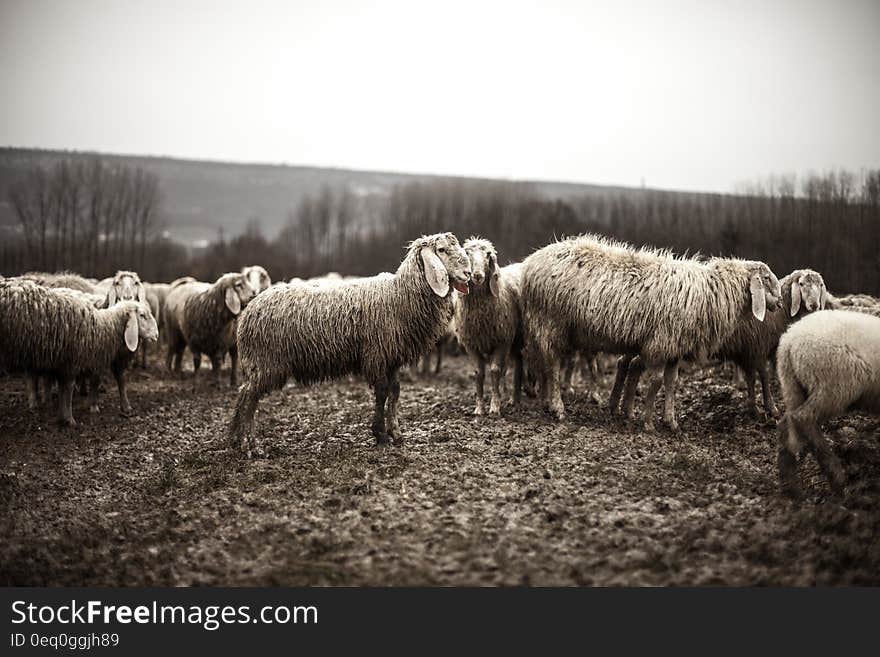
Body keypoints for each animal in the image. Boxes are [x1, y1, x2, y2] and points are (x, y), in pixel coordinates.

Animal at [0, 278, 158, 426]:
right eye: (142, 315)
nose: (156, 335)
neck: (105, 326)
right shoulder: (75, 360)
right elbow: (72, 387)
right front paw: (71, 417)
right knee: (34, 378)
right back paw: (38, 404)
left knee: (37, 378)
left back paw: (42, 402)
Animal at [229, 229, 474, 452]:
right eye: (441, 250)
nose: (468, 273)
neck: (400, 296)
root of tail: (249, 309)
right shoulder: (377, 354)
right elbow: (382, 392)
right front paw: (380, 435)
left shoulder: (392, 357)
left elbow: (395, 392)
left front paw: (396, 433)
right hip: (266, 362)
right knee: (248, 398)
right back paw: (249, 444)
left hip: (261, 363)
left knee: (243, 395)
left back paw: (237, 439)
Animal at [454, 238, 524, 416]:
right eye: (467, 253)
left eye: (487, 255)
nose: (477, 275)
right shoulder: (471, 344)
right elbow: (479, 373)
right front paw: (479, 408)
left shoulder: (502, 341)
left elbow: (494, 370)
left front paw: (495, 406)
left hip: (516, 338)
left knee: (518, 364)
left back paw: (515, 399)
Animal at [520, 233, 780, 428]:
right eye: (766, 278)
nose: (779, 303)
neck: (712, 291)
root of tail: (530, 264)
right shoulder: (660, 344)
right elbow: (655, 381)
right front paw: (647, 422)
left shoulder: (675, 347)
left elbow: (671, 382)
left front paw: (670, 421)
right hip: (550, 322)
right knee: (553, 367)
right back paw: (558, 408)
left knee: (546, 365)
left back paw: (547, 403)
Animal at [776, 310, 880, 494]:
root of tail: (789, 339)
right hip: (833, 386)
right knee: (803, 418)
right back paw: (837, 478)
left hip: (793, 385)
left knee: (786, 423)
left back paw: (790, 486)